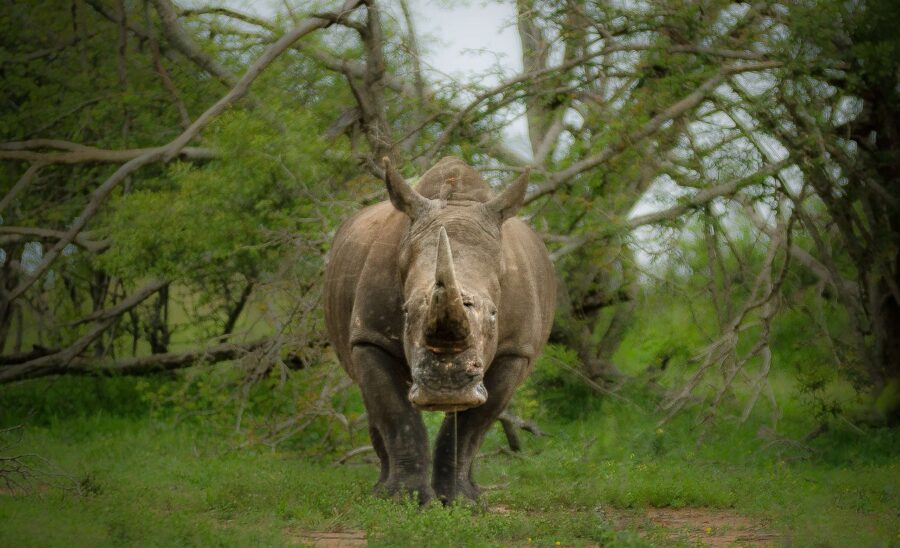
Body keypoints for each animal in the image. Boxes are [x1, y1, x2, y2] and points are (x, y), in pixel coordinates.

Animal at [324, 156, 556, 504]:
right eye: (406, 312)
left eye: (494, 314)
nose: (445, 389)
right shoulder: (371, 338)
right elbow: (396, 414)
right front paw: (404, 500)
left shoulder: (516, 349)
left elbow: (472, 425)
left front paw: (462, 502)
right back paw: (380, 490)